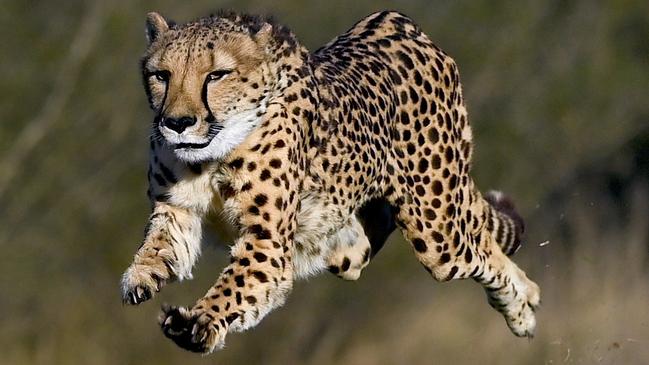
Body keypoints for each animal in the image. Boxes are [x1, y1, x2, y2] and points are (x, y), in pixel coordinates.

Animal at [119, 10, 540, 352]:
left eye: (216, 75)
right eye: (161, 76)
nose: (177, 122)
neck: (213, 153)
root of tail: (396, 20)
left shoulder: (267, 242)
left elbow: (235, 286)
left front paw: (199, 322)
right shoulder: (178, 209)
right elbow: (161, 243)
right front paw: (142, 275)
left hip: (436, 232)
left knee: (483, 249)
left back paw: (524, 308)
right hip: (346, 244)